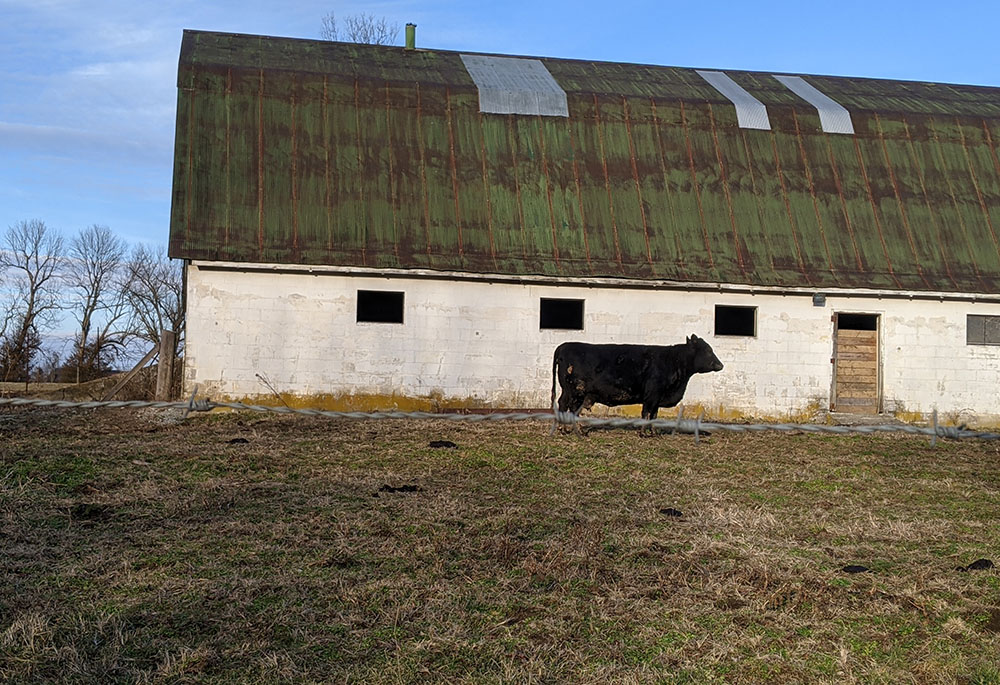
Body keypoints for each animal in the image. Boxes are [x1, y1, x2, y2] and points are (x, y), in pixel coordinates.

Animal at [552, 332, 724, 424]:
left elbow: (654, 415)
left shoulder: (657, 398)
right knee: (567, 405)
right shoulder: (652, 395)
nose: (720, 365)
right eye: (708, 350)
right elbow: (647, 413)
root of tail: (564, 346)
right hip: (574, 391)